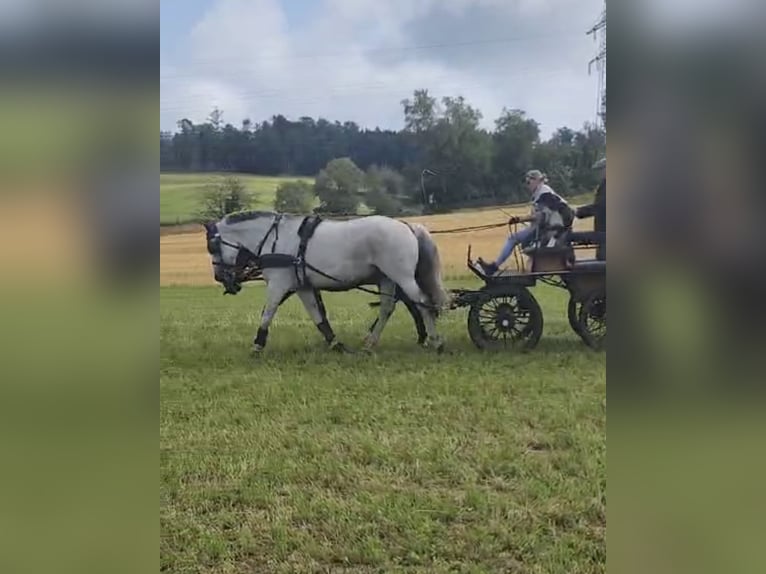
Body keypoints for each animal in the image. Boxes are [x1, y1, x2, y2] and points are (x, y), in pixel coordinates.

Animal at [204, 212, 450, 354]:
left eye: (212, 247)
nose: (220, 277)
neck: (276, 238)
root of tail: (407, 226)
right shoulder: (303, 286)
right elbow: (317, 316)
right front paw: (334, 343)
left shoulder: (278, 284)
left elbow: (268, 312)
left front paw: (257, 344)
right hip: (387, 278)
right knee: (388, 309)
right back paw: (371, 343)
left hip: (402, 276)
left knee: (422, 303)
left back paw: (436, 342)